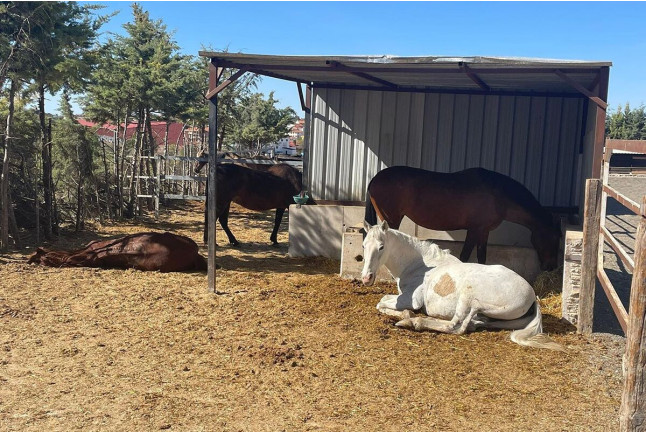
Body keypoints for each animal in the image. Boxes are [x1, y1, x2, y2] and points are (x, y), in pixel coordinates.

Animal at [361, 221, 564, 351]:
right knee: (474, 323)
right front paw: (402, 314)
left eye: (381, 246)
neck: (419, 265)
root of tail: (532, 296)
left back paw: (413, 322)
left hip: (469, 299)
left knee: (456, 326)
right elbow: (382, 302)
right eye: (363, 245)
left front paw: (405, 314)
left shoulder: (410, 300)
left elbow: (381, 302)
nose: (366, 278)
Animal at [365, 166, 561, 270]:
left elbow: (481, 256)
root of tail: (375, 179)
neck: (497, 193)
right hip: (391, 219)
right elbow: (465, 256)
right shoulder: (474, 230)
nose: (551, 266)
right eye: (553, 238)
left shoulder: (484, 231)